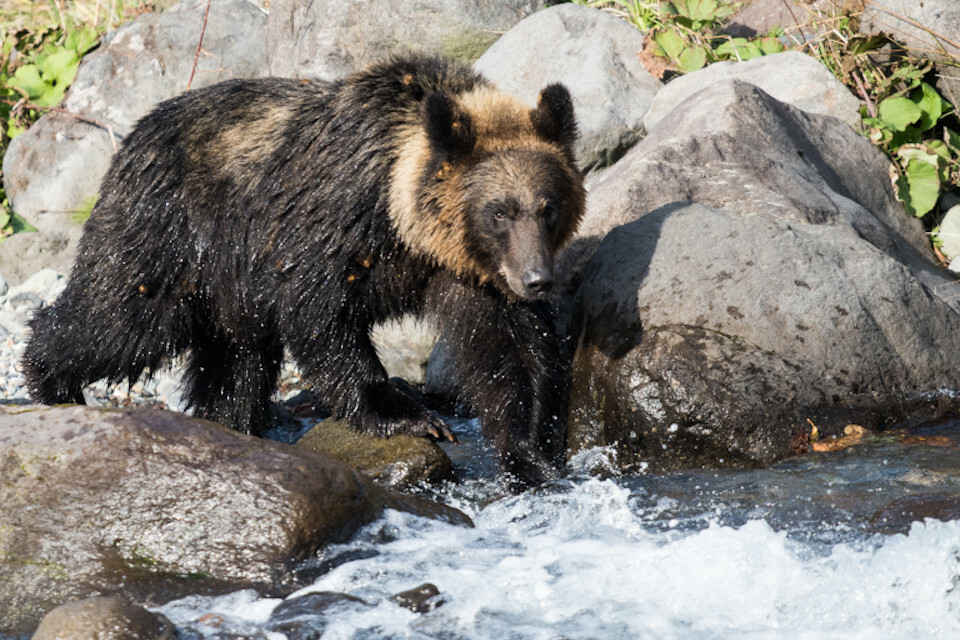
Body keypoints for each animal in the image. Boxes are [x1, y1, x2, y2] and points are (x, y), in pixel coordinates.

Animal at [22, 53, 584, 490]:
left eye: (548, 206)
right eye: (499, 211)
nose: (537, 280)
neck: (405, 224)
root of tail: (132, 135)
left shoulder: (470, 273)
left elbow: (510, 352)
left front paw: (530, 454)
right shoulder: (334, 223)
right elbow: (318, 310)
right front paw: (406, 412)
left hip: (230, 288)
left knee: (236, 363)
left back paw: (227, 425)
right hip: (171, 235)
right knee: (121, 319)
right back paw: (51, 381)